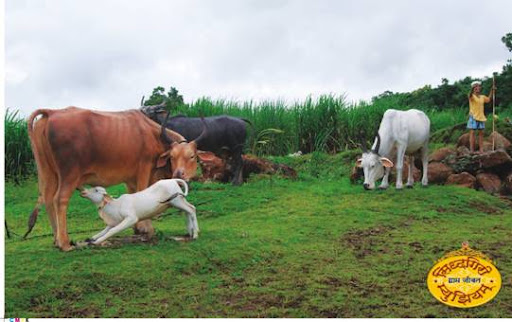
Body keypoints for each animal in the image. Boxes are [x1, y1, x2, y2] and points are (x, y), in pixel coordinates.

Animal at [25, 107, 203, 250]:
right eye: (172, 157)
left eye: (192, 156)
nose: (179, 174)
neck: (152, 134)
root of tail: (52, 112)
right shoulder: (144, 168)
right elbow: (142, 190)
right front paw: (147, 229)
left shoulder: (130, 178)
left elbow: (134, 194)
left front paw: (139, 229)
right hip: (69, 174)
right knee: (59, 199)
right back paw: (64, 243)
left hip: (48, 173)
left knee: (48, 199)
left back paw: (56, 240)